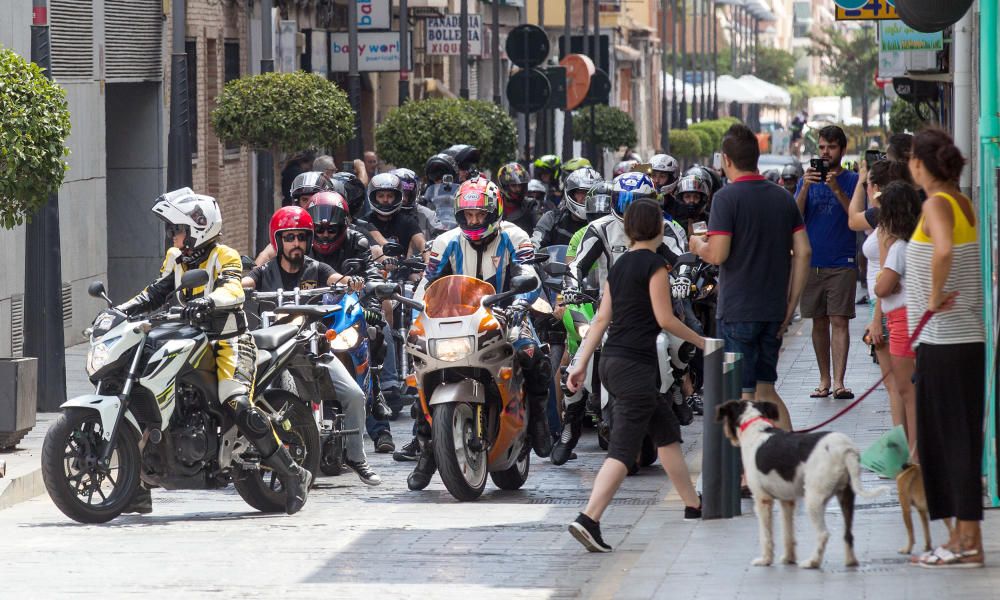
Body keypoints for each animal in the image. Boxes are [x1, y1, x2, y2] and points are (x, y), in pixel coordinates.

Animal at [716, 400, 888, 568]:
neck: (755, 427)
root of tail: (846, 450)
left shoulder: (762, 499)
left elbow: (766, 535)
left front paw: (766, 560)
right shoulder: (787, 500)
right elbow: (788, 532)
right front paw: (789, 558)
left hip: (813, 498)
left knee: (823, 534)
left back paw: (813, 562)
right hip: (846, 495)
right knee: (848, 534)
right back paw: (850, 561)